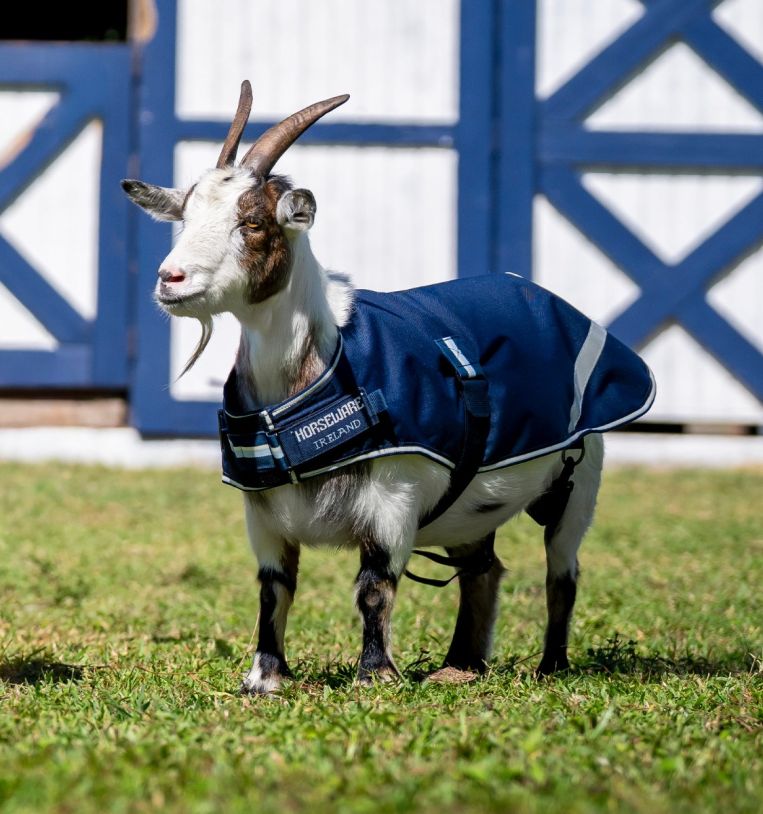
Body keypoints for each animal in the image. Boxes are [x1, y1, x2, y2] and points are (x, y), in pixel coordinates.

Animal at [122, 81, 654, 693]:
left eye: (252, 224)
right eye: (184, 218)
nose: (171, 279)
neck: (317, 375)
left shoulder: (393, 496)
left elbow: (374, 588)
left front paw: (374, 676)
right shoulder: (264, 516)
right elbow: (273, 590)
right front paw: (264, 679)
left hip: (580, 479)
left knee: (561, 573)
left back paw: (550, 667)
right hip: (471, 506)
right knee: (483, 568)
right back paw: (460, 665)